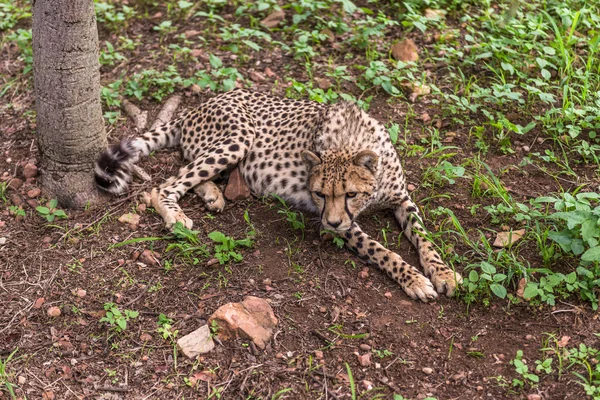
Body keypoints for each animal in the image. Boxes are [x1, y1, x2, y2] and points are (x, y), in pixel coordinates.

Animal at [96, 87, 464, 300]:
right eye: (319, 194)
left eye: (350, 194)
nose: (331, 224)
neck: (351, 141)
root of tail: (198, 106)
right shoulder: (337, 222)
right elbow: (381, 250)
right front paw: (414, 279)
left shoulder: (402, 199)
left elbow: (424, 239)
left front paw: (443, 272)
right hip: (239, 137)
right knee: (164, 185)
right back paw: (176, 216)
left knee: (189, 169)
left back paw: (212, 194)